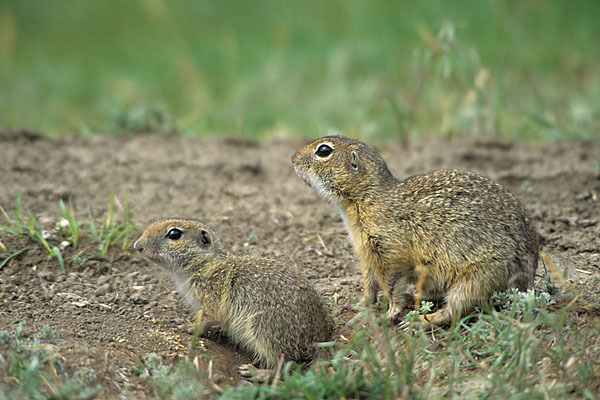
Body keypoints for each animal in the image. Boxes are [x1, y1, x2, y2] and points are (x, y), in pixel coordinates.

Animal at [133, 219, 336, 368]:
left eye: (174, 234)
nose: (137, 246)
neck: (204, 264)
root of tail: (318, 339)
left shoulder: (212, 294)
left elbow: (208, 318)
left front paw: (190, 327)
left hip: (265, 329)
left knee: (285, 364)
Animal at [292, 136, 540, 326]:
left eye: (324, 150)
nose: (292, 159)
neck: (365, 198)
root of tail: (528, 281)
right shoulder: (367, 253)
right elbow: (369, 282)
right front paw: (362, 303)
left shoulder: (387, 252)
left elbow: (392, 285)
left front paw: (390, 314)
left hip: (476, 279)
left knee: (456, 311)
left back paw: (421, 320)